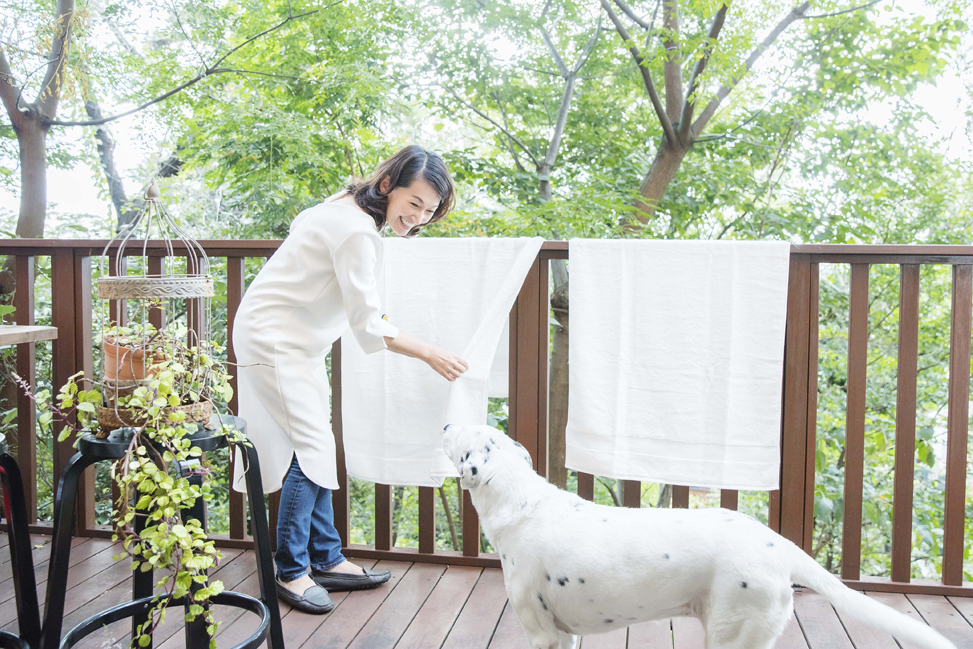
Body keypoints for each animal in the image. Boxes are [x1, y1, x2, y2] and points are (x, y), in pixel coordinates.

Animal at [442, 422, 956, 648]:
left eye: (460, 434)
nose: (446, 421)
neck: (521, 503)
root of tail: (779, 543)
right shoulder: (562, 638)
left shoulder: (543, 633)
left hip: (730, 637)